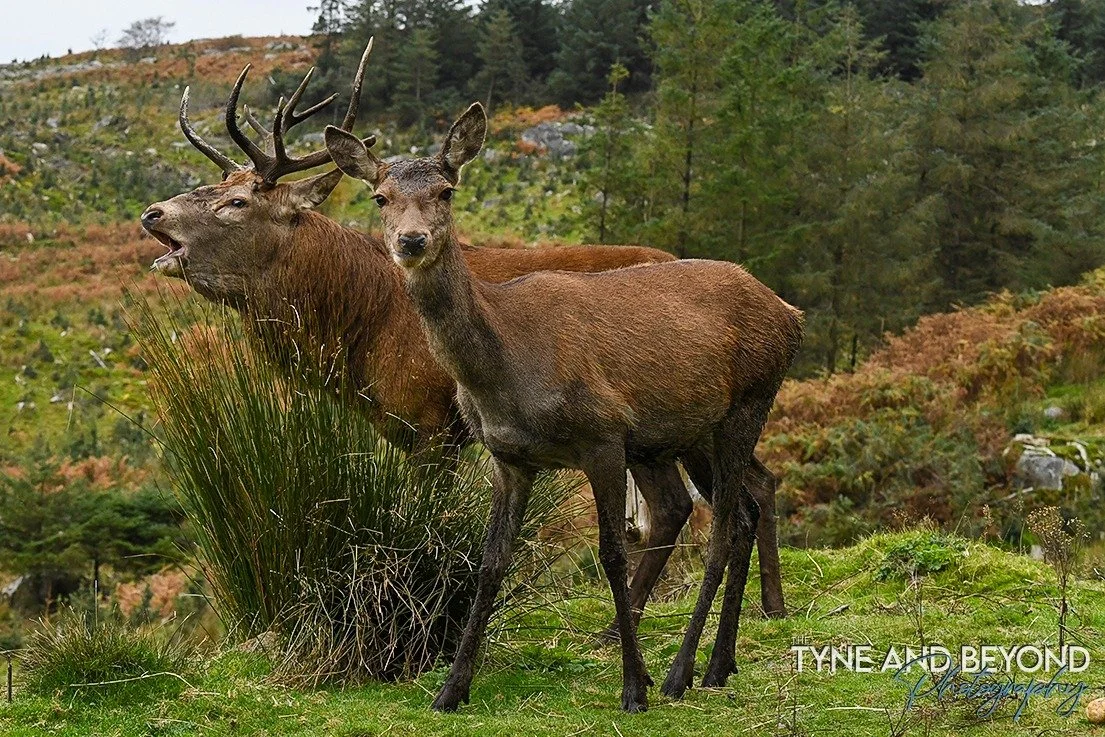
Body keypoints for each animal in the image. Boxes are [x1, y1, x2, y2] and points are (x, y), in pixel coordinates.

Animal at [140, 49, 788, 644]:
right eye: (216, 186)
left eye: (237, 201)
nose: (153, 212)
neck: (362, 329)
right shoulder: (402, 427)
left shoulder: (432, 421)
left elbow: (425, 521)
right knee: (747, 485)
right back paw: (768, 605)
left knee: (701, 501)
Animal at [323, 103, 803, 713]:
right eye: (379, 196)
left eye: (447, 190)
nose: (412, 240)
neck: (505, 372)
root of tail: (790, 312)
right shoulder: (508, 457)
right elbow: (490, 563)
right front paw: (451, 689)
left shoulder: (602, 437)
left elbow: (612, 554)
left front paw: (633, 688)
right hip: (684, 433)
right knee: (735, 511)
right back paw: (718, 665)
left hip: (748, 401)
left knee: (721, 525)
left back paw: (679, 673)